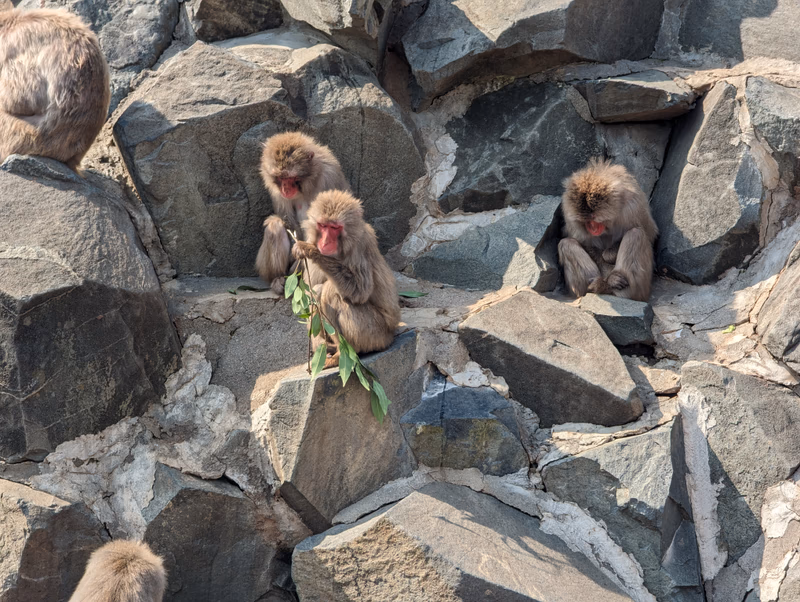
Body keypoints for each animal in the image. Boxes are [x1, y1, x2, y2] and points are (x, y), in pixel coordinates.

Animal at [256, 131, 350, 294]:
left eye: (291, 177)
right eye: (280, 178)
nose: (286, 189)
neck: (308, 183)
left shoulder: (330, 176)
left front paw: (302, 256)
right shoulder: (275, 190)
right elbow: (287, 220)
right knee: (275, 225)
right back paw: (278, 278)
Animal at [292, 190, 400, 368]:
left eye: (335, 228)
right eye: (323, 226)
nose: (325, 241)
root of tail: (391, 335)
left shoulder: (360, 246)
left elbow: (360, 292)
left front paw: (310, 250)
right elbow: (309, 294)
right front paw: (318, 343)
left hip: (375, 334)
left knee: (329, 292)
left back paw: (347, 353)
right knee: (318, 290)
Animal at [558, 158, 658, 303]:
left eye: (594, 220)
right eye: (586, 222)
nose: (592, 228)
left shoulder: (633, 206)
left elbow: (650, 233)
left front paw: (609, 256)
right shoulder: (568, 213)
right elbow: (584, 243)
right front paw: (611, 280)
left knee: (636, 234)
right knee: (566, 244)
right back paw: (599, 286)